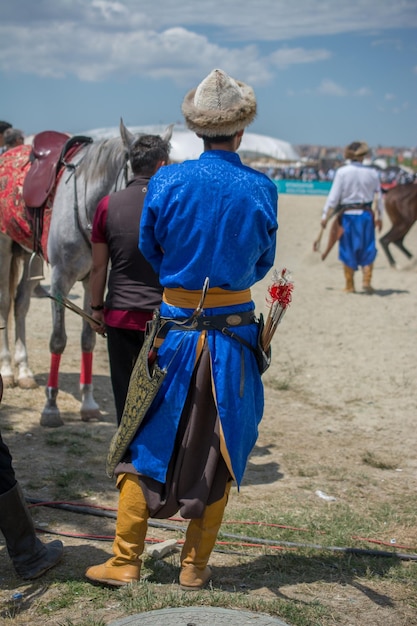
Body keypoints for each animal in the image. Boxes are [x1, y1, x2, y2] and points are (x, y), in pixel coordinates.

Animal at [0, 120, 172, 426]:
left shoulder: (94, 281)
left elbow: (88, 339)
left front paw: (88, 404)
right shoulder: (60, 281)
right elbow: (58, 341)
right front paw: (51, 407)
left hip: (30, 258)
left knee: (21, 304)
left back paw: (24, 371)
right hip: (5, 249)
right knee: (5, 304)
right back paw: (8, 371)